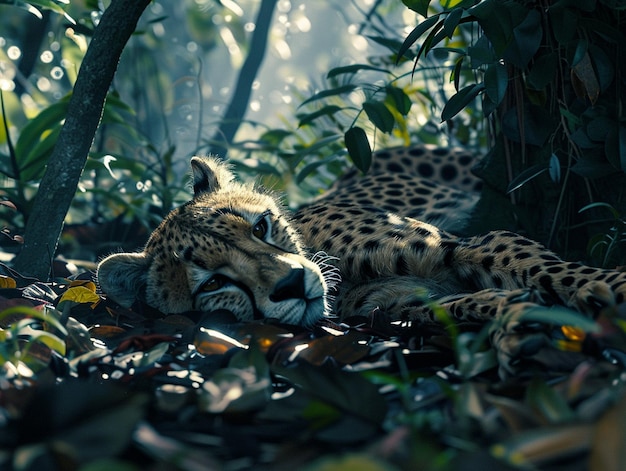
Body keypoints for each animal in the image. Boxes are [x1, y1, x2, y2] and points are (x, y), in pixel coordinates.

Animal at [96, 146, 624, 378]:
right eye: (211, 284)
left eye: (260, 227)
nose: (293, 283)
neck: (340, 278)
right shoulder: (400, 309)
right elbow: (464, 304)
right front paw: (518, 322)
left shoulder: (468, 244)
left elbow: (552, 269)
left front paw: (608, 288)